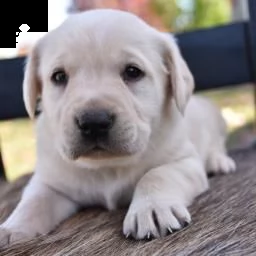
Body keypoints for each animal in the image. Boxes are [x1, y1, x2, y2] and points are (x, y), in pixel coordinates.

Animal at [0, 8, 236, 244]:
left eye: (133, 72)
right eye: (58, 76)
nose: (93, 122)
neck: (107, 165)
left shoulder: (185, 161)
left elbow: (157, 174)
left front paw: (151, 208)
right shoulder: (50, 182)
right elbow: (34, 201)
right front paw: (12, 228)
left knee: (217, 144)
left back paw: (218, 162)